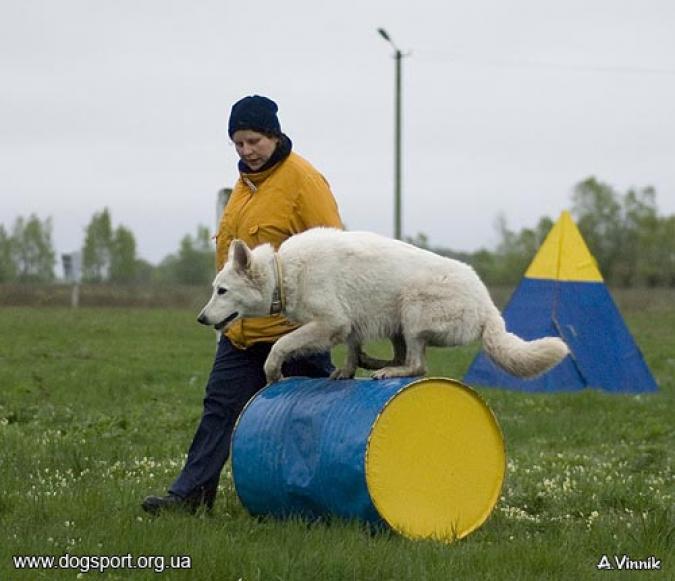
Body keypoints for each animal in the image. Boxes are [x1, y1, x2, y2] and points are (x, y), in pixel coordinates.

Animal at [198, 228, 568, 386]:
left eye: (222, 291)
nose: (201, 318)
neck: (283, 270)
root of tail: (488, 306)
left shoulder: (331, 322)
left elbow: (281, 344)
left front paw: (273, 372)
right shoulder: (350, 324)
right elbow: (350, 350)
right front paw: (347, 371)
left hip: (412, 308)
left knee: (417, 366)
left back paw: (390, 371)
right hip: (398, 324)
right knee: (402, 356)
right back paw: (376, 363)